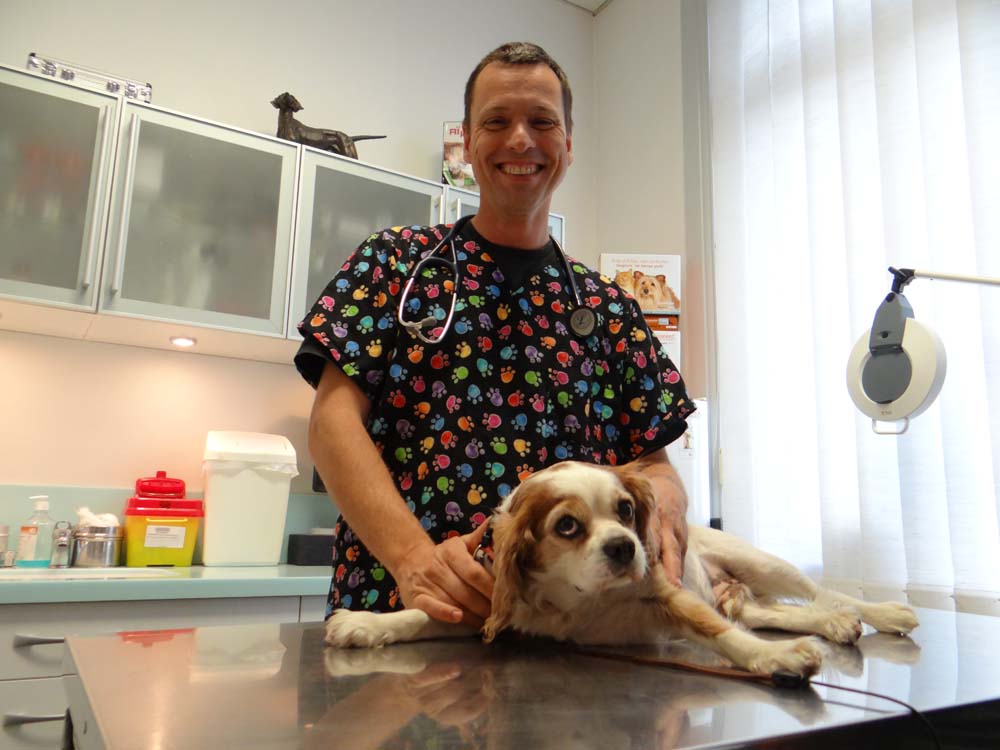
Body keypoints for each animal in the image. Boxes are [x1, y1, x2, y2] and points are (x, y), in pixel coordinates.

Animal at [325, 462, 919, 679]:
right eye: (567, 526)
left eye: (627, 511)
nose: (626, 548)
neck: (575, 599)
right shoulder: (494, 606)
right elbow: (423, 615)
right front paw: (367, 624)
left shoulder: (666, 596)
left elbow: (719, 632)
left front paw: (772, 659)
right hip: (745, 595)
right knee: (773, 612)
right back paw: (832, 627)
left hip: (764, 563)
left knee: (825, 594)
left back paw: (880, 612)